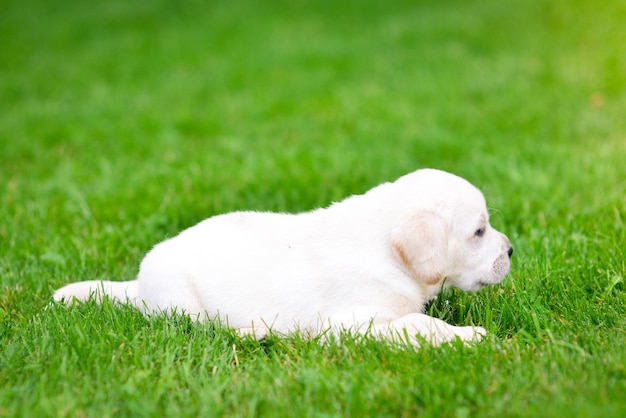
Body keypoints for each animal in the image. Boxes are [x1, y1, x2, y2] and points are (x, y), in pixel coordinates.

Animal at [54, 168, 512, 344]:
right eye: (479, 231)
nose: (510, 249)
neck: (387, 252)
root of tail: (137, 286)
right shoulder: (351, 322)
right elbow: (418, 324)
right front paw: (468, 336)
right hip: (181, 302)